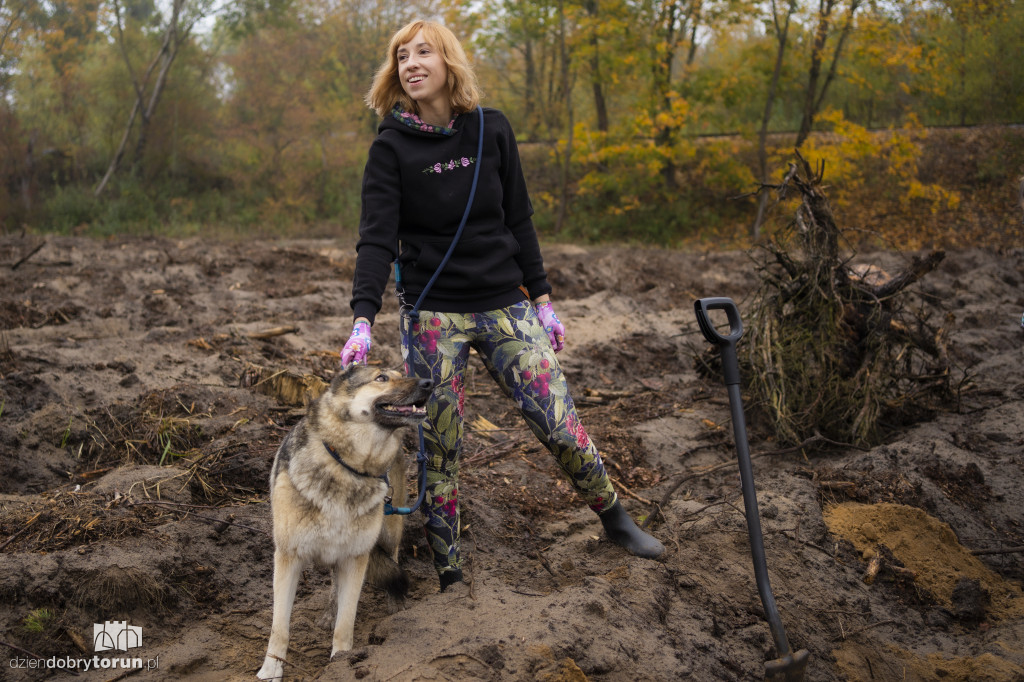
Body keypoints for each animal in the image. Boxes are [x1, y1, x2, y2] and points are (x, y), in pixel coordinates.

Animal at [258, 364, 434, 675]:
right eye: (381, 378)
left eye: (400, 374)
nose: (429, 383)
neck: (350, 468)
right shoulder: (288, 557)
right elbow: (280, 628)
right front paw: (271, 671)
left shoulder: (356, 558)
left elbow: (346, 622)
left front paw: (340, 662)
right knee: (334, 584)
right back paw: (329, 613)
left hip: (389, 529)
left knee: (392, 559)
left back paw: (396, 607)